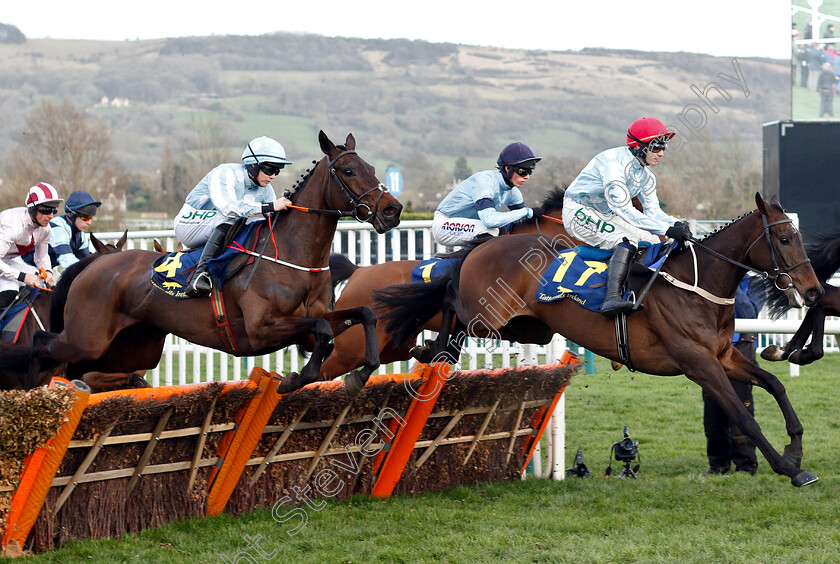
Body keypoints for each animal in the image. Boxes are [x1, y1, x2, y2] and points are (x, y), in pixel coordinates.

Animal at [0, 132, 404, 394]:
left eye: (371, 167)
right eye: (348, 171)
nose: (393, 209)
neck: (291, 255)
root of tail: (96, 265)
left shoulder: (305, 322)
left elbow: (362, 315)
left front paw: (358, 375)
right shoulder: (262, 327)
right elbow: (320, 329)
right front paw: (295, 378)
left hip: (131, 348)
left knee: (91, 369)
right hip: (87, 338)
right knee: (42, 342)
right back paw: (32, 389)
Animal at [378, 194, 824, 484]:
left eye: (799, 237)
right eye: (785, 239)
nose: (815, 289)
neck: (697, 284)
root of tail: (485, 244)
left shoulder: (724, 354)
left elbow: (775, 384)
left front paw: (795, 447)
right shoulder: (697, 363)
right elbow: (743, 416)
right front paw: (791, 469)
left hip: (530, 327)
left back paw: (430, 349)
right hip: (485, 317)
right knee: (449, 299)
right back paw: (429, 348)